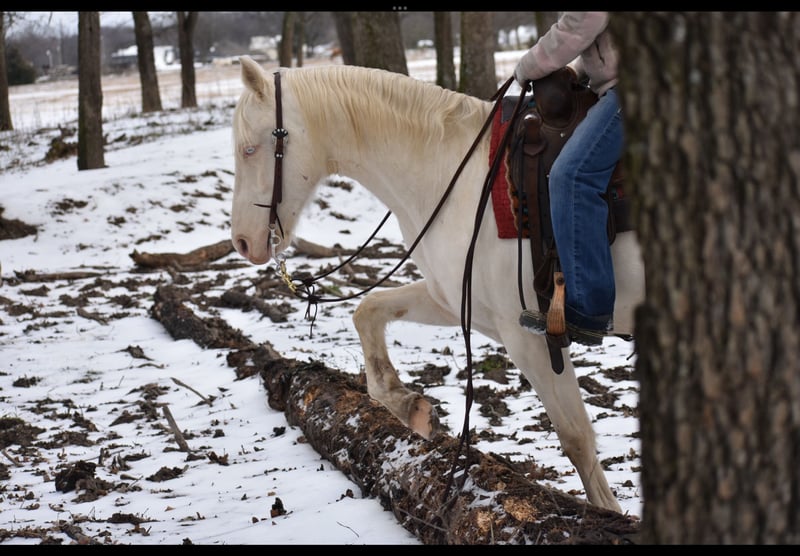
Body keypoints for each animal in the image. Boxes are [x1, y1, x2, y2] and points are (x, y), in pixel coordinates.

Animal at [230, 55, 645, 514]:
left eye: (250, 148)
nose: (242, 242)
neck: (451, 175)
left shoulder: (529, 336)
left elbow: (576, 438)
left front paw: (606, 514)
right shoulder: (454, 301)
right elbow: (368, 311)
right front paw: (407, 404)